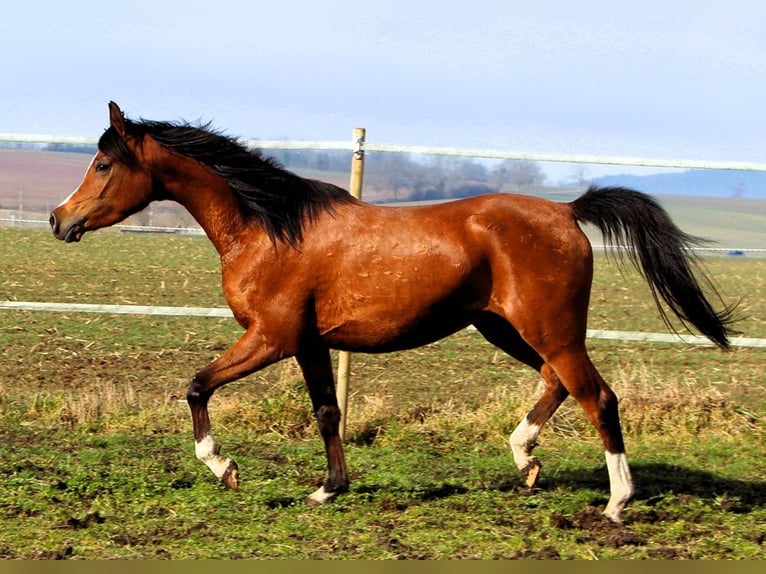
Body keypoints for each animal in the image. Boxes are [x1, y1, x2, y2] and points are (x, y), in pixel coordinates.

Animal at [49, 101, 736, 524]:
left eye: (103, 163)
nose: (59, 219)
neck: (268, 228)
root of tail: (567, 211)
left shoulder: (272, 337)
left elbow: (196, 386)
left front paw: (225, 469)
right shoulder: (310, 343)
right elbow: (327, 412)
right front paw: (328, 488)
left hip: (550, 329)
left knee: (599, 396)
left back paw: (616, 503)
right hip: (505, 327)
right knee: (557, 383)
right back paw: (526, 461)